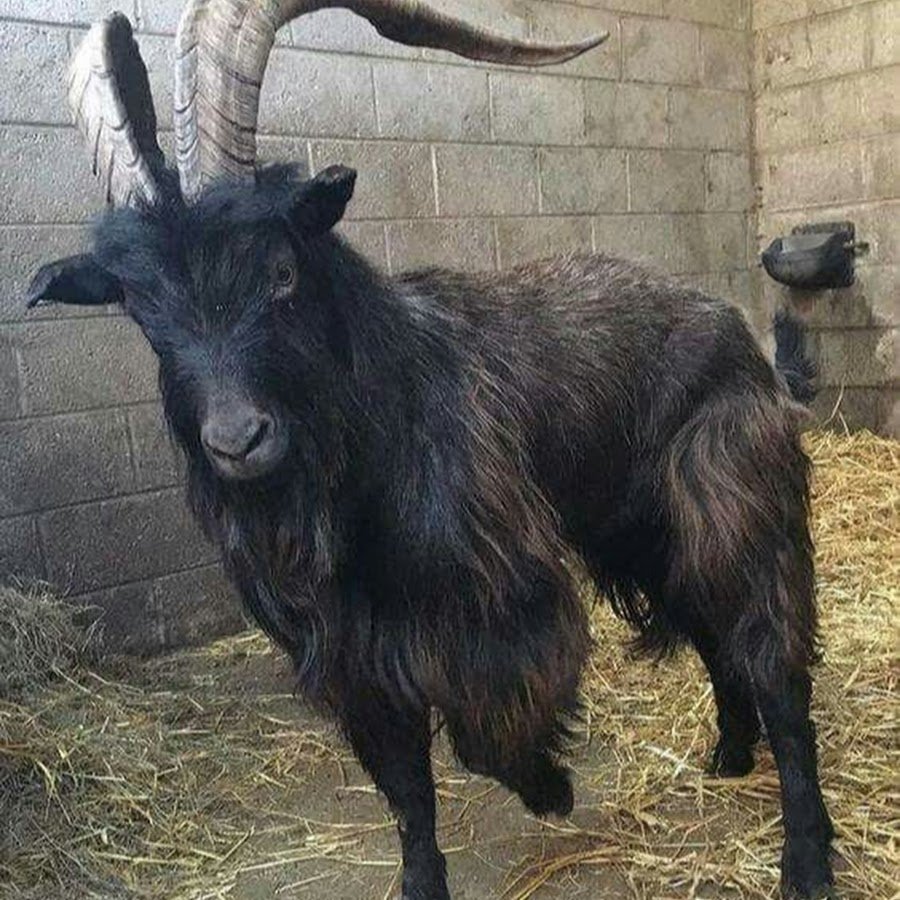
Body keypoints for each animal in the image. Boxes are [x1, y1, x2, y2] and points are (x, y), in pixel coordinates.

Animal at [27, 5, 835, 898]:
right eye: (141, 309)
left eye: (282, 270)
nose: (238, 440)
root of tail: (738, 329)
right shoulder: (359, 661)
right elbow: (410, 791)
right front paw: (427, 878)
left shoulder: (509, 600)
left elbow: (488, 734)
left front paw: (550, 786)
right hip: (647, 534)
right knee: (716, 636)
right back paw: (729, 752)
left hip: (737, 505)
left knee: (776, 666)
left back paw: (806, 857)